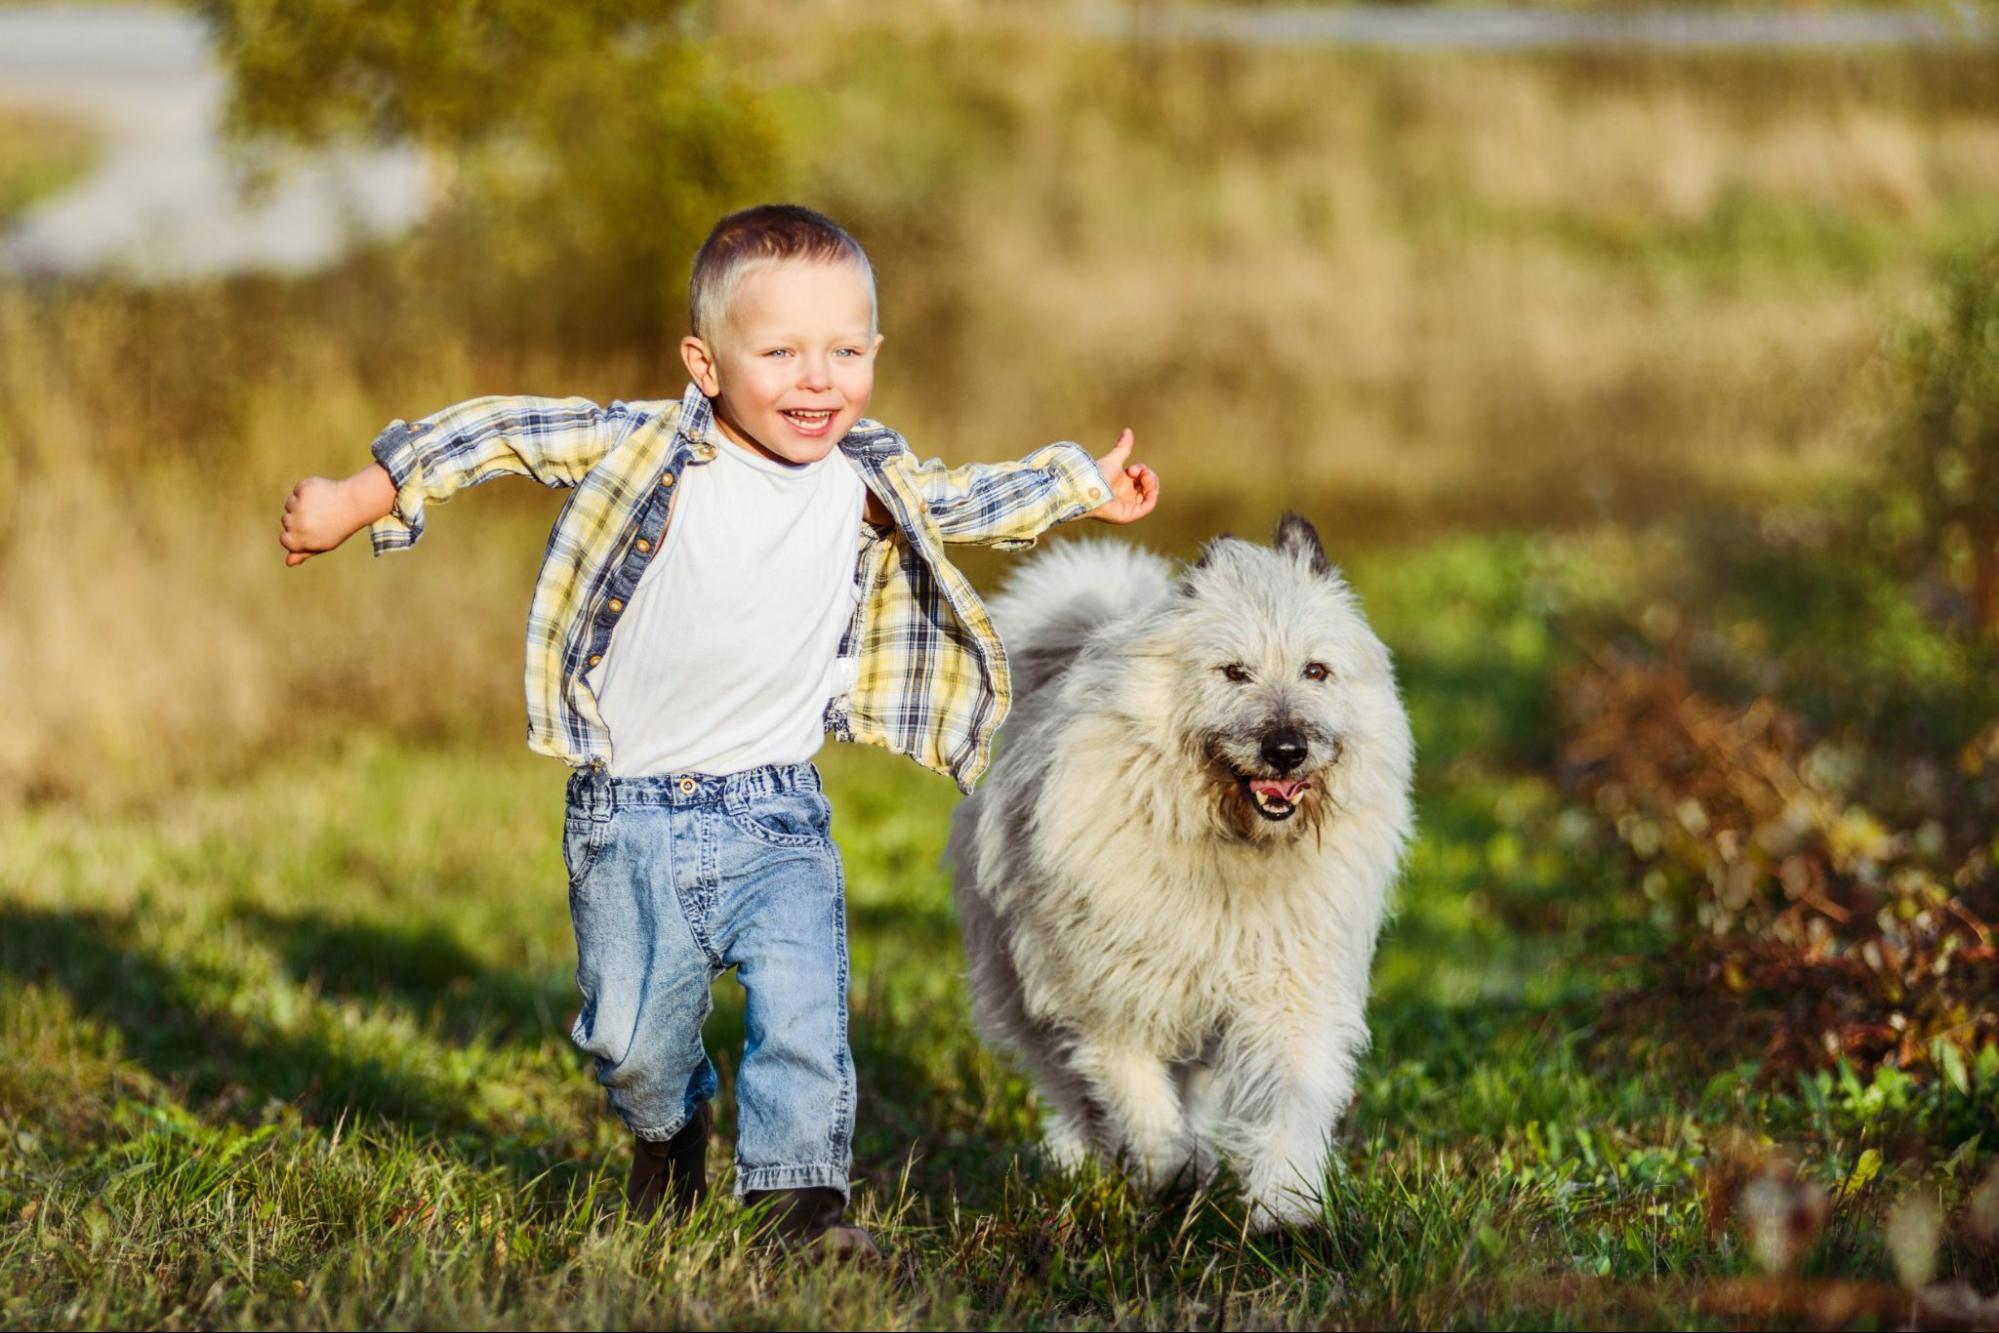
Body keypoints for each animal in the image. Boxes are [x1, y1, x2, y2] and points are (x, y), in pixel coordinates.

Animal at [943, 515, 1415, 1239]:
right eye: (1234, 672)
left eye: (1316, 670)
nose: (1286, 748)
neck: (1225, 849)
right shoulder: (1108, 1004)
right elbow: (1143, 1107)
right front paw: (1174, 1177)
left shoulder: (1286, 994)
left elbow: (1288, 1100)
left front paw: (1286, 1211)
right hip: (1023, 989)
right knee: (1073, 1090)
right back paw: (1087, 1165)